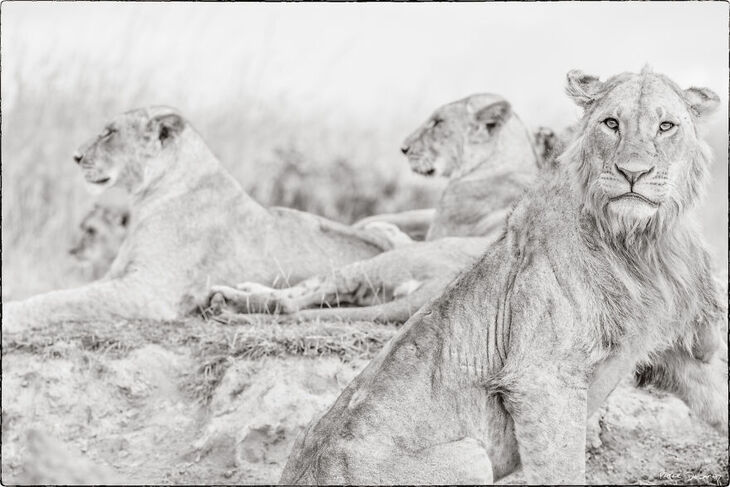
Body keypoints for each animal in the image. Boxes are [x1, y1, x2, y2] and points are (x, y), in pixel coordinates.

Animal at [1, 107, 398, 334]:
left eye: (109, 132)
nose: (75, 156)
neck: (148, 198)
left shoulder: (146, 290)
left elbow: (61, 300)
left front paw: (12, 314)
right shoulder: (117, 275)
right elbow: (62, 294)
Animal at [278, 67, 724, 484]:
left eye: (666, 126)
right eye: (611, 123)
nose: (633, 172)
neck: (640, 243)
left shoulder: (681, 352)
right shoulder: (542, 377)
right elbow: (562, 468)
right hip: (471, 454)